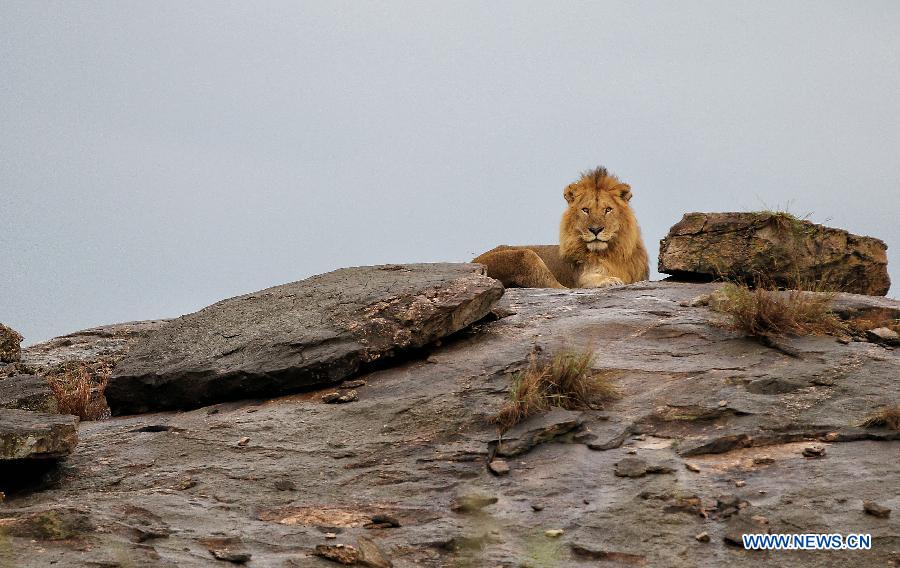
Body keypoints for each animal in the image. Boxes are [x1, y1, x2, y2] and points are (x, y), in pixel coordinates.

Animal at [472, 165, 648, 288]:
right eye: (585, 210)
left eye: (608, 210)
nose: (595, 230)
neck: (610, 253)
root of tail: (474, 260)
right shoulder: (580, 276)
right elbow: (586, 280)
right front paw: (609, 280)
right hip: (525, 256)